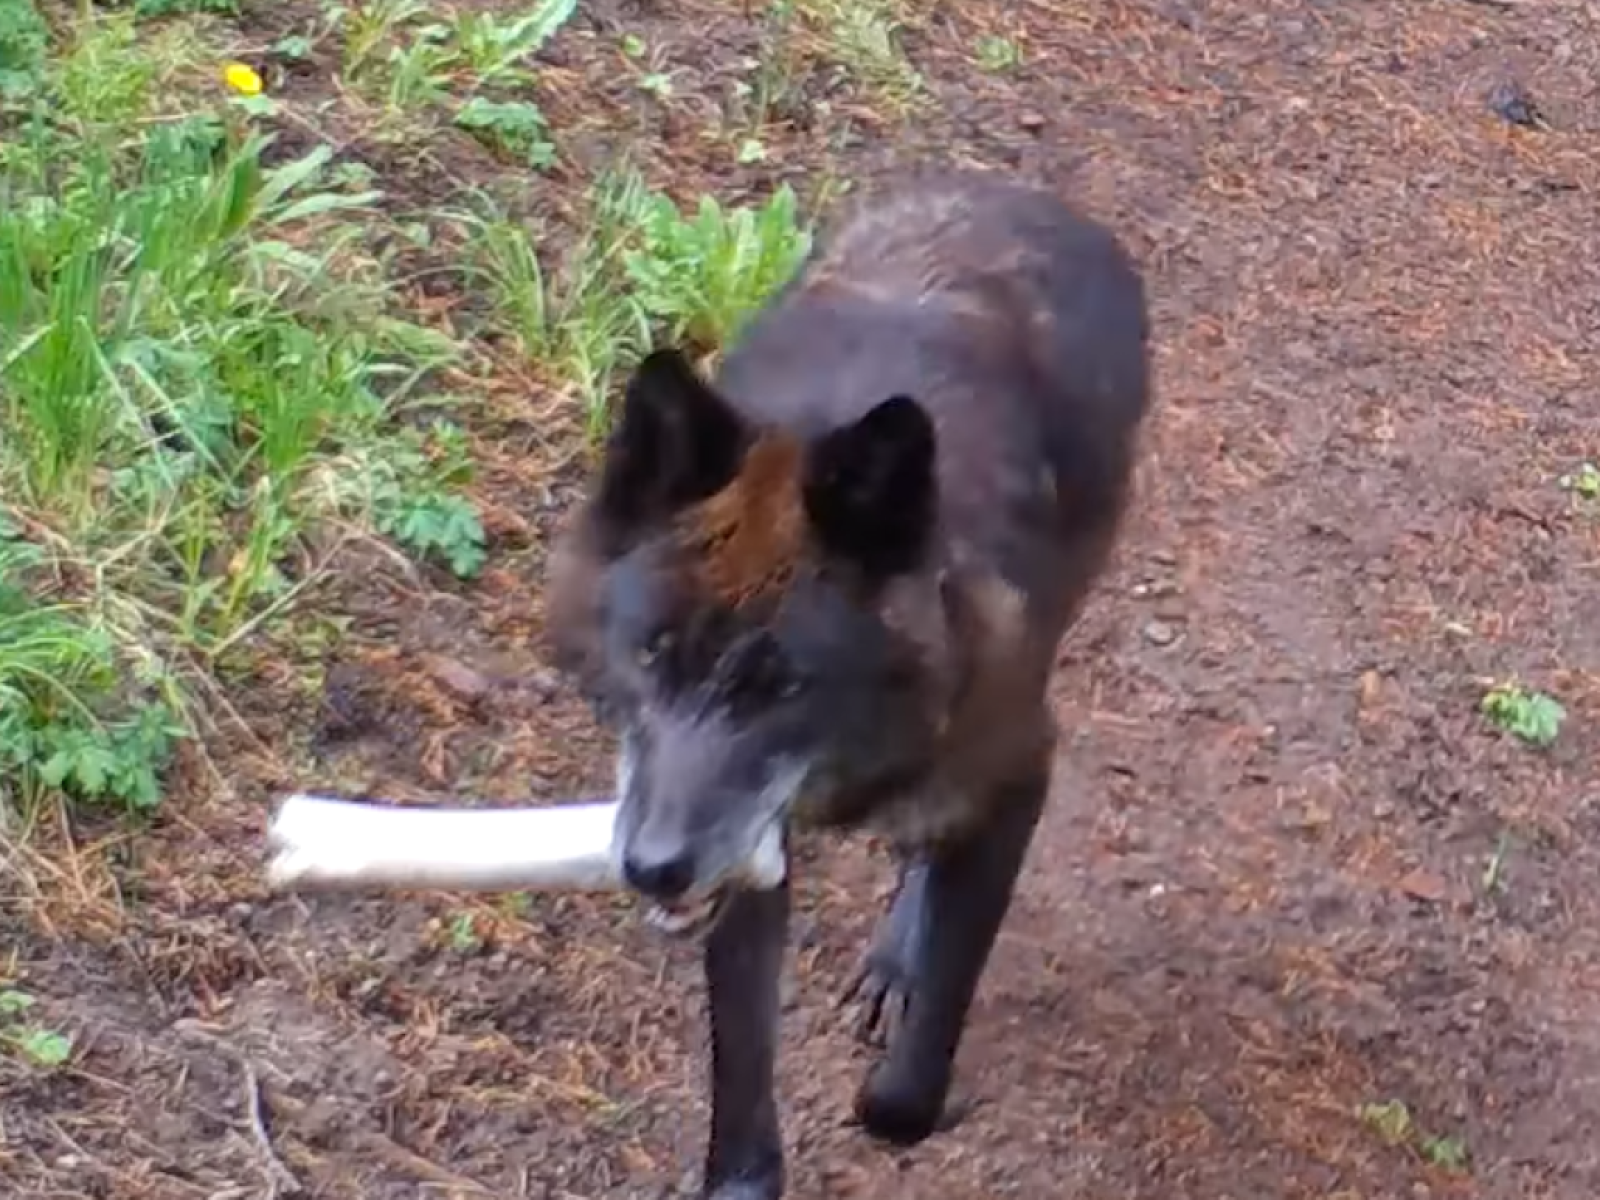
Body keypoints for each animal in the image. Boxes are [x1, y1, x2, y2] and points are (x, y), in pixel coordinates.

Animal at [542, 167, 1153, 1200]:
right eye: (653, 654)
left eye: (784, 685)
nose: (654, 865)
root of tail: (1016, 194)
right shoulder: (754, 851)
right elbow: (743, 1070)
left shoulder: (1018, 774)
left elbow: (910, 1085)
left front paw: (907, 1072)